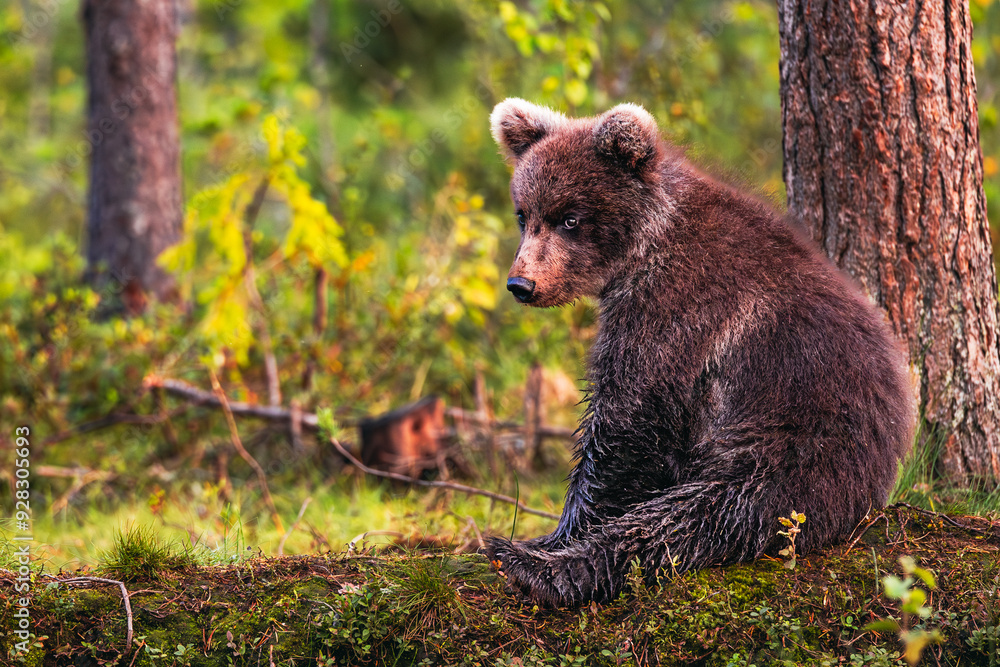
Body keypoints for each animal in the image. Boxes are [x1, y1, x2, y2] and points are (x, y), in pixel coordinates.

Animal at [486, 98, 915, 606]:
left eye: (570, 217)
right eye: (523, 214)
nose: (521, 284)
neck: (641, 249)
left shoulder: (679, 306)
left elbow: (627, 416)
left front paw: (554, 535)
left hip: (795, 438)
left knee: (705, 512)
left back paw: (535, 566)